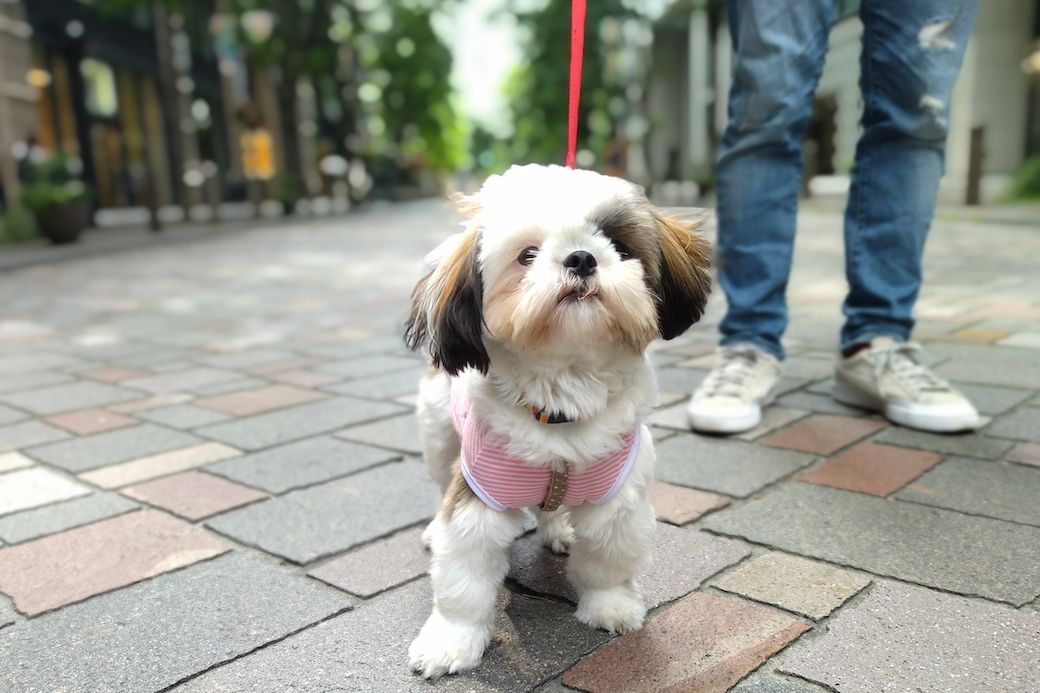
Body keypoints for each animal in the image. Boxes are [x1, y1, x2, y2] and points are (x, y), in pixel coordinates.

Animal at [401, 164, 711, 678]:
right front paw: (451, 642)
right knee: (439, 478)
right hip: (439, 436)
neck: (561, 404)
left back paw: (559, 530)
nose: (582, 258)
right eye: (527, 256)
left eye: (618, 245)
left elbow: (606, 562)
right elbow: (464, 583)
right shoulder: (477, 501)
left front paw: (609, 607)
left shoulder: (616, 499)